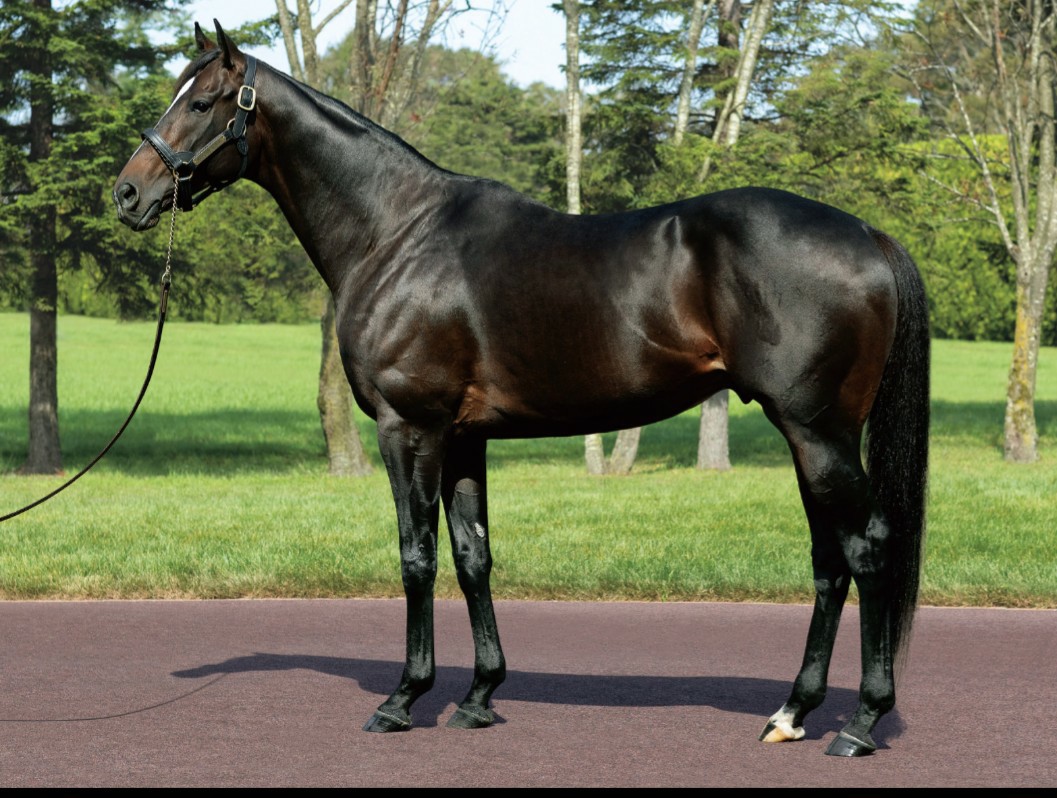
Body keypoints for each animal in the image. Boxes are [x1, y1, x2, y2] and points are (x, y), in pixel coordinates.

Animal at [113, 21, 930, 758]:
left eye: (203, 101)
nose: (127, 192)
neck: (396, 233)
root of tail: (867, 234)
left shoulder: (409, 427)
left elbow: (416, 556)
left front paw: (403, 699)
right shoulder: (463, 436)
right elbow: (473, 555)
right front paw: (478, 696)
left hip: (818, 433)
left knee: (866, 549)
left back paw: (859, 724)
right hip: (809, 437)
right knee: (829, 562)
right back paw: (791, 714)